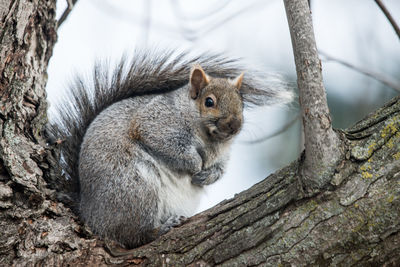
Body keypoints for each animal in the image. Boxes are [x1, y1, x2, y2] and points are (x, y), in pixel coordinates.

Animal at [47, 50, 294, 249]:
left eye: (241, 103)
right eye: (209, 102)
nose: (234, 125)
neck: (210, 140)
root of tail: (88, 211)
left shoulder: (222, 155)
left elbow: (221, 169)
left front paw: (206, 176)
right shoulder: (156, 124)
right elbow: (168, 145)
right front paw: (195, 165)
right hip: (135, 191)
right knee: (132, 236)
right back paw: (162, 228)